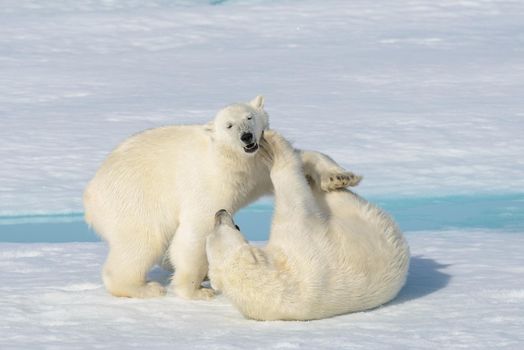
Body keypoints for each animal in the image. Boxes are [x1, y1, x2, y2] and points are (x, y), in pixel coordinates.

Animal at [84, 97, 362, 300]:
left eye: (249, 117)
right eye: (228, 125)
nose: (247, 136)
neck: (232, 159)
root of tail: (90, 194)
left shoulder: (256, 167)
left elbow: (301, 158)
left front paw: (340, 178)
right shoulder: (210, 181)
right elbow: (196, 230)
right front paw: (195, 290)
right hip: (135, 200)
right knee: (142, 241)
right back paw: (144, 287)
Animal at [205, 131, 410, 320]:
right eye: (236, 227)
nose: (220, 212)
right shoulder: (298, 238)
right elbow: (294, 194)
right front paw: (273, 150)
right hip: (358, 213)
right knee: (325, 193)